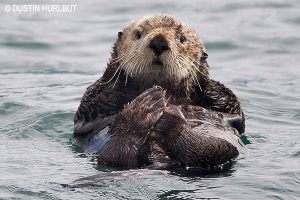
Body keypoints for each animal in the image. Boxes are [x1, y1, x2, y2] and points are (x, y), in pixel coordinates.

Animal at [74, 14, 245, 170]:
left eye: (182, 38)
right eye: (138, 34)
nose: (159, 41)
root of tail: (158, 160)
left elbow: (230, 104)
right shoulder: (94, 101)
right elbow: (91, 104)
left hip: (222, 149)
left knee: (205, 149)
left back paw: (169, 116)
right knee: (116, 155)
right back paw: (145, 108)